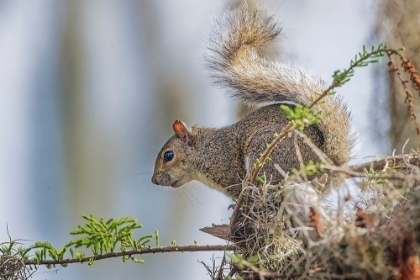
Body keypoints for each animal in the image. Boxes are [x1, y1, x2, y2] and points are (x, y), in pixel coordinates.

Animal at [151, 7, 354, 199]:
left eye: (168, 155)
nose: (154, 180)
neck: (205, 150)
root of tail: (328, 161)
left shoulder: (227, 168)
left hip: (269, 151)